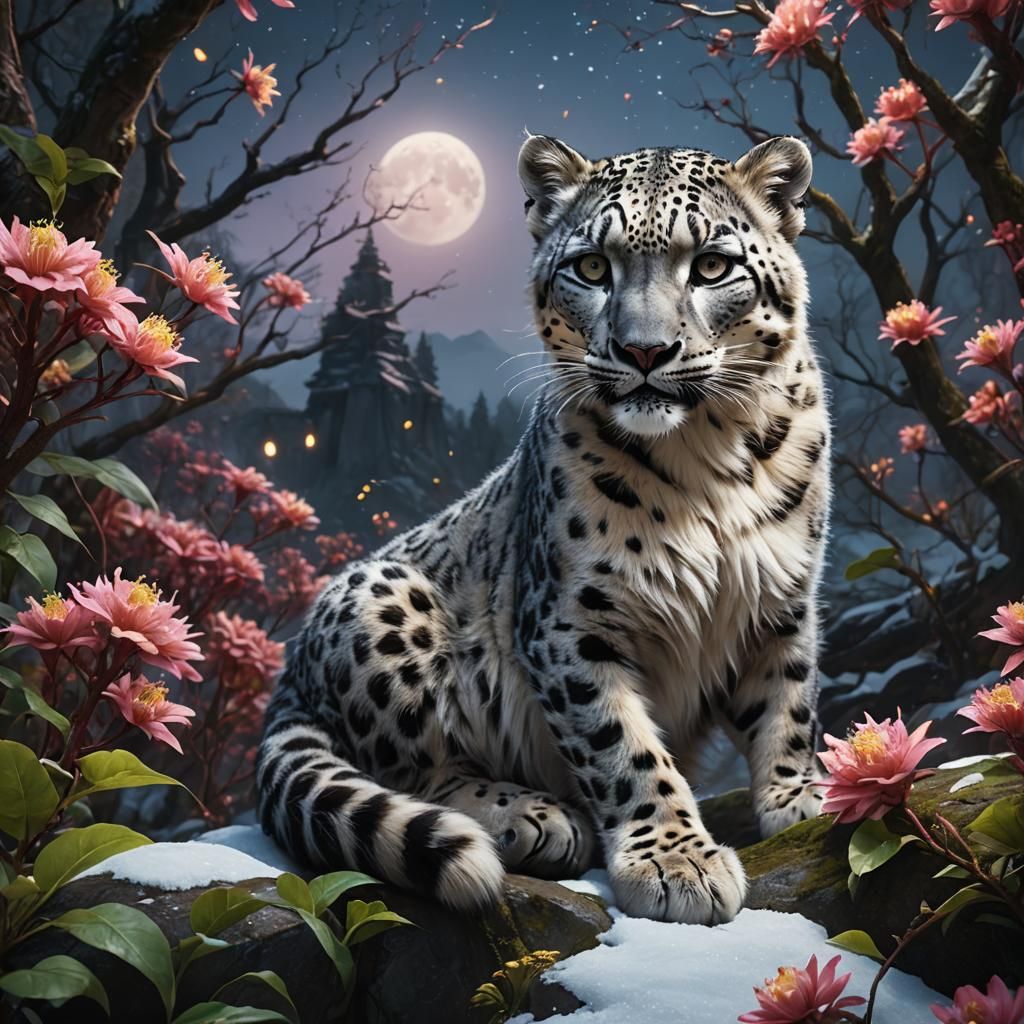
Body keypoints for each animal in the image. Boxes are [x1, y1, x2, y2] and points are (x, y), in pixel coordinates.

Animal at [255, 134, 831, 924]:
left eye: (713, 265)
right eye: (591, 267)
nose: (643, 351)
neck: (708, 456)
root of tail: (291, 672)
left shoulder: (781, 598)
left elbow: (788, 699)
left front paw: (800, 795)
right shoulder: (570, 621)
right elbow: (622, 746)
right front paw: (675, 862)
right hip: (384, 599)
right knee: (419, 770)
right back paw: (532, 816)